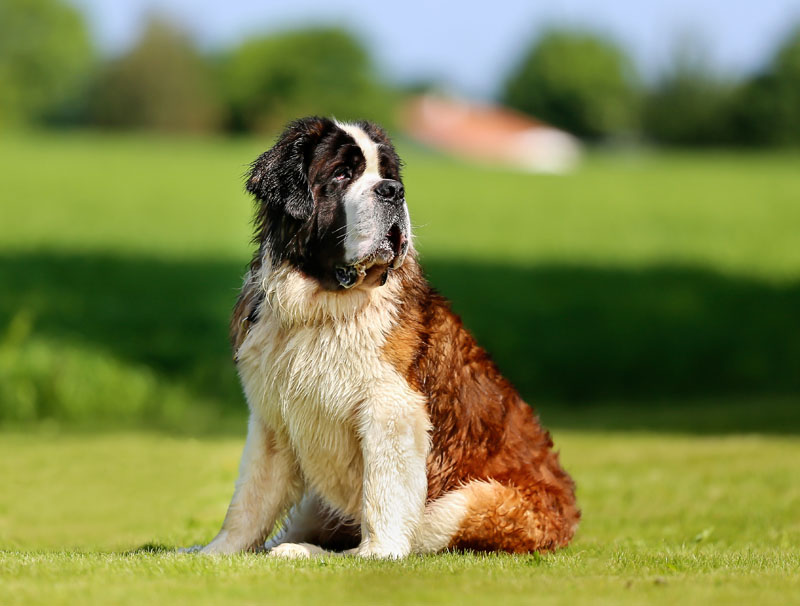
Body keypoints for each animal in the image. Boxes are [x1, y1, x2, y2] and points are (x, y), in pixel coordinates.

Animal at [184, 116, 580, 560]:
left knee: (418, 530)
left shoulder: (390, 406)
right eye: (342, 173)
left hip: (470, 502)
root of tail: (570, 515)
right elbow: (250, 498)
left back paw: (311, 551)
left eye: (389, 175)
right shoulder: (270, 418)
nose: (393, 190)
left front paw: (376, 553)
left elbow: (384, 491)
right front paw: (218, 551)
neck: (321, 304)